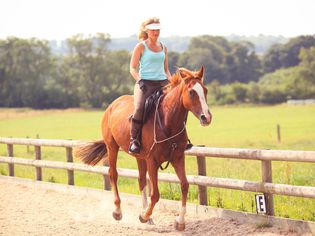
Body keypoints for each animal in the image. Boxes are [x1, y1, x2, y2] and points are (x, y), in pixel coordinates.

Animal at [75, 66, 212, 230]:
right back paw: (118, 212)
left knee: (141, 180)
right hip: (112, 147)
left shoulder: (178, 158)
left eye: (205, 90)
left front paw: (179, 221)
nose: (206, 117)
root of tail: (113, 105)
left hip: (140, 157)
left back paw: (148, 217)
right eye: (191, 92)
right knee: (113, 174)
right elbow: (156, 194)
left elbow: (184, 185)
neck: (167, 121)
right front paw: (143, 216)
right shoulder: (152, 161)